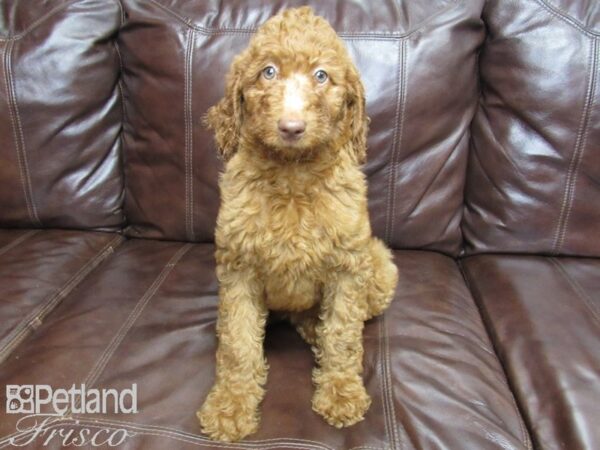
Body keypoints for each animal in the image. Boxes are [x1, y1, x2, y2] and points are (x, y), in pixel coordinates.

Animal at [197, 6, 400, 442]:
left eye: (321, 75)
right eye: (268, 72)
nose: (291, 127)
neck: (292, 174)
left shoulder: (348, 266)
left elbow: (343, 333)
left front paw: (340, 393)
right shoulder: (238, 268)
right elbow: (238, 342)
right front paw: (230, 406)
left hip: (379, 263)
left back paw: (314, 330)